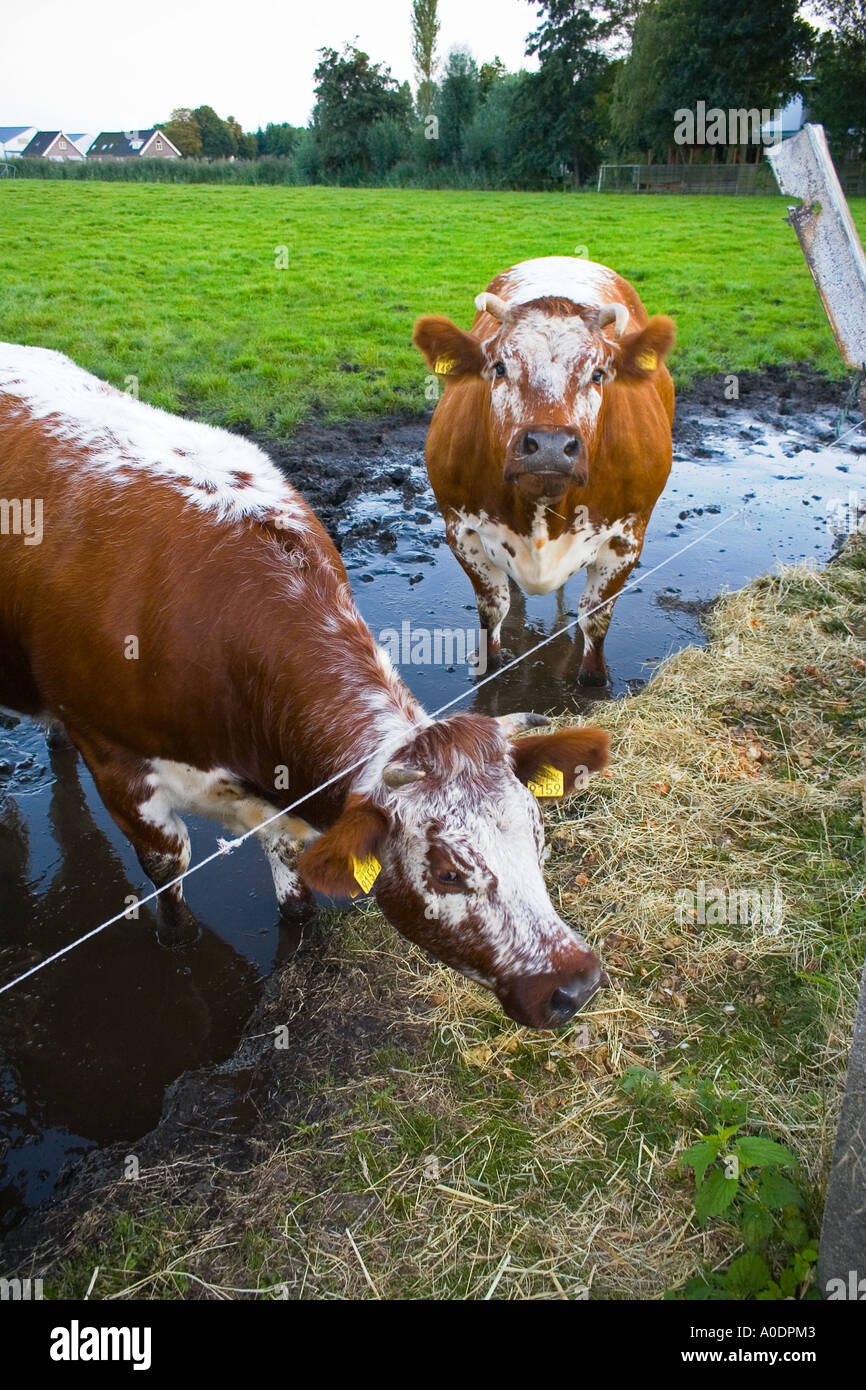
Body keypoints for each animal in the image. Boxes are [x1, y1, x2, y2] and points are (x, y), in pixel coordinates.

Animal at [0, 341, 608, 1028]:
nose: (574, 983)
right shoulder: (118, 765)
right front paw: (177, 944)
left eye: (536, 834)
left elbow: (293, 881)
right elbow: (170, 877)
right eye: (448, 873)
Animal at [414, 258, 678, 686]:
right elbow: (493, 608)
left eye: (598, 373)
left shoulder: (628, 539)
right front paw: (490, 664)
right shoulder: (460, 530)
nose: (551, 445)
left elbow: (595, 618)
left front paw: (593, 679)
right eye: (500, 367)